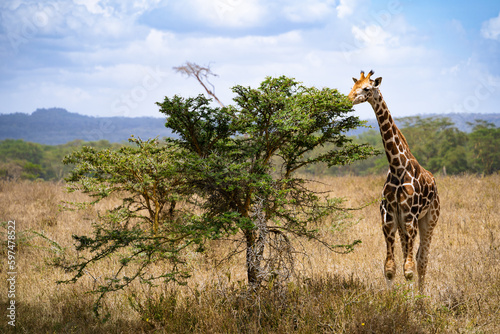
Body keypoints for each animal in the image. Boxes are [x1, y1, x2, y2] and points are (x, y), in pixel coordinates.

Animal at [348, 70, 442, 290]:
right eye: (353, 86)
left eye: (367, 88)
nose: (347, 99)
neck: (397, 168)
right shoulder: (389, 218)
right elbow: (390, 268)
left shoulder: (410, 217)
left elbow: (409, 269)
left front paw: (411, 300)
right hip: (402, 224)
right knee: (411, 256)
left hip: (429, 219)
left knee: (422, 260)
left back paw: (421, 297)